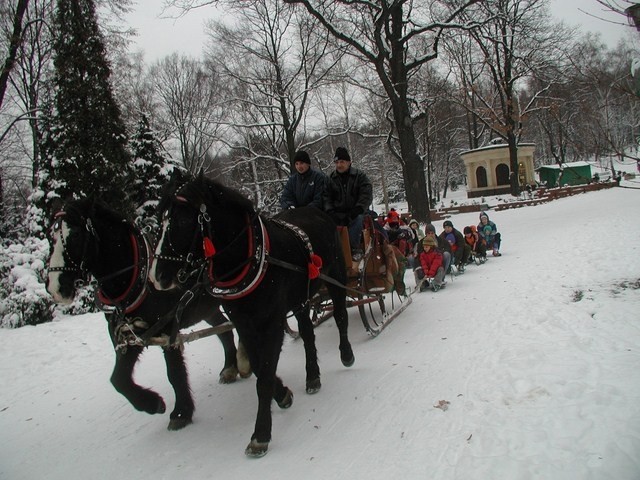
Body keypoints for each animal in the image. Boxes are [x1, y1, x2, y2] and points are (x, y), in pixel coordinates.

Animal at [45, 199, 249, 432]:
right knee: (225, 330)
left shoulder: (167, 330)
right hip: (208, 307)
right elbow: (119, 380)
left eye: (76, 235)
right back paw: (230, 368)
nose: (55, 288)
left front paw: (180, 412)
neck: (137, 279)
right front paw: (152, 404)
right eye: (52, 236)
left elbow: (174, 373)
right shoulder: (132, 333)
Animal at [149, 173, 356, 458]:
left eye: (180, 220)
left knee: (340, 317)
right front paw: (282, 394)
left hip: (336, 277)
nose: (157, 276)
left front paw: (261, 434)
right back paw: (312, 375)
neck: (252, 257)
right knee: (307, 334)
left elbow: (265, 374)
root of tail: (317, 212)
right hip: (301, 299)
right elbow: (259, 366)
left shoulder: (271, 322)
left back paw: (346, 354)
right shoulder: (243, 322)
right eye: (161, 220)